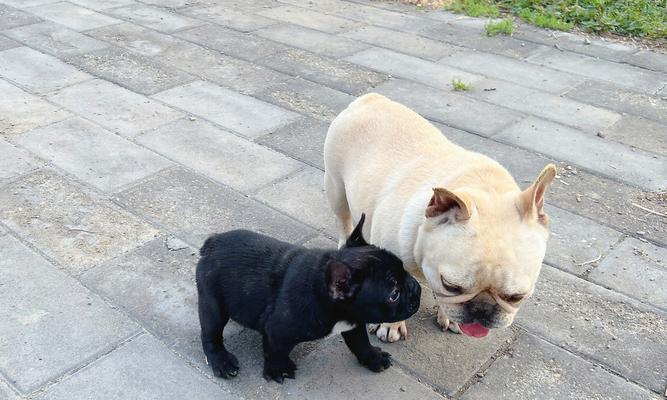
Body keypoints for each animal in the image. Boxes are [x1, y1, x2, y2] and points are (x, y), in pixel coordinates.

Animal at [196, 214, 420, 382]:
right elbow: (275, 350)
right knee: (211, 334)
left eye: (405, 270)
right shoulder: (278, 331)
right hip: (213, 305)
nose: (416, 288)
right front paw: (278, 369)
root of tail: (212, 243)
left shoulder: (354, 323)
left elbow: (360, 342)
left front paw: (373, 357)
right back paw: (221, 361)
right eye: (394, 294)